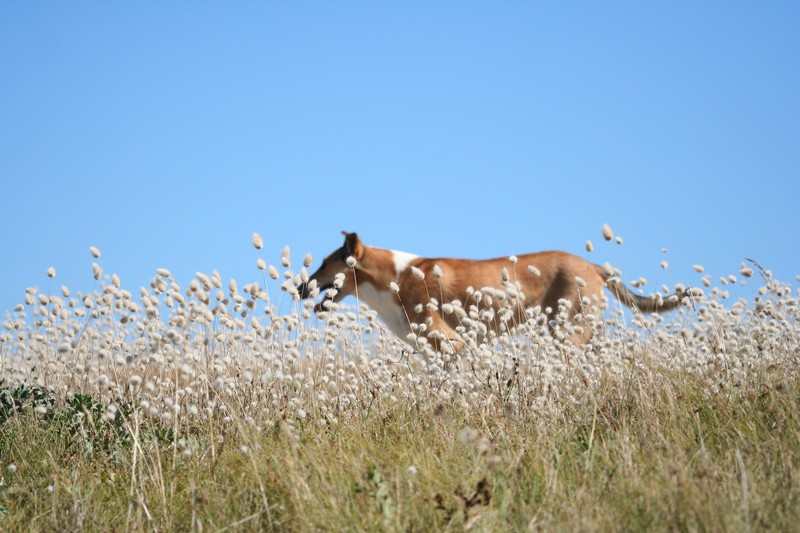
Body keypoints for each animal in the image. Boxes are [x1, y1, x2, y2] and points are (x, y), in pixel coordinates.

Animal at [296, 232, 684, 350]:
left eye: (325, 263)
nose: (299, 287)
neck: (392, 278)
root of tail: (594, 265)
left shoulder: (452, 342)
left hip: (567, 330)